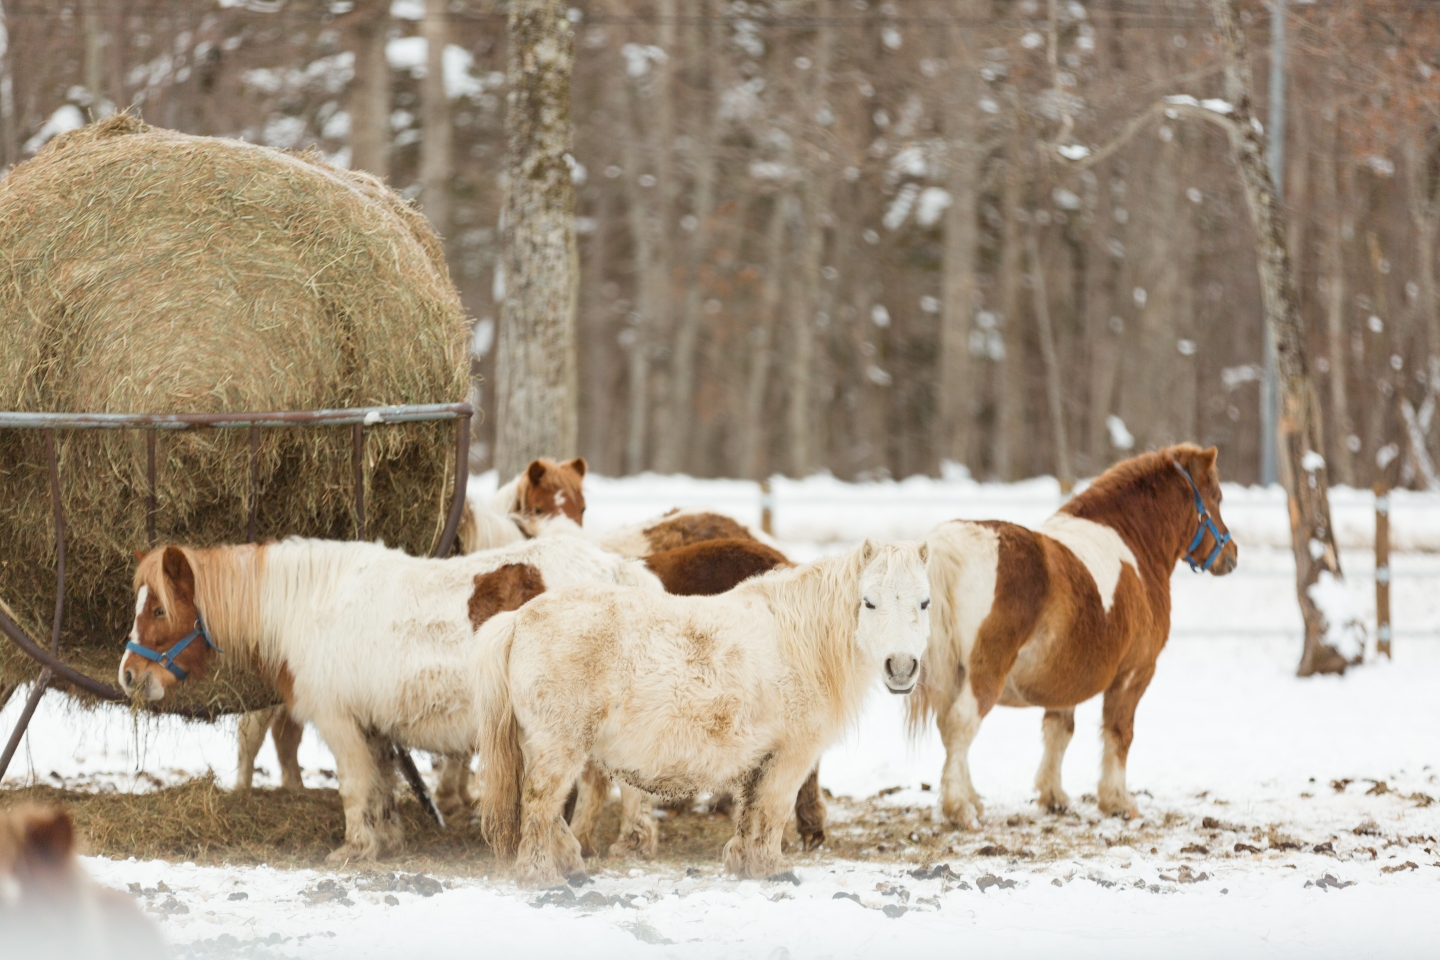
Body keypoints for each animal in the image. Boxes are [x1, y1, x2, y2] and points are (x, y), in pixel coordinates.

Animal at [116, 532, 659, 863]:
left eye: (160, 609)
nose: (128, 675)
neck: (310, 607)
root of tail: (617, 571)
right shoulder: (372, 726)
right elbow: (380, 785)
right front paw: (388, 839)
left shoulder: (338, 721)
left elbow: (354, 787)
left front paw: (355, 848)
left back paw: (614, 842)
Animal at [478, 541, 927, 886]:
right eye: (869, 602)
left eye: (924, 602)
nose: (902, 667)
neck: (800, 640)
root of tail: (519, 619)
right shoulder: (790, 757)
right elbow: (773, 812)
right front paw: (773, 869)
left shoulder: (760, 761)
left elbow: (751, 814)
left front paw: (744, 864)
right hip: (560, 747)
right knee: (539, 805)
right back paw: (542, 876)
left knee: (547, 810)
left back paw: (570, 864)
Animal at [910, 443, 1238, 829]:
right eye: (1217, 497)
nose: (1232, 555)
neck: (1132, 547)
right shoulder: (1134, 674)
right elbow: (1119, 732)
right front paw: (1117, 801)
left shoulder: (1064, 679)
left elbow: (1058, 732)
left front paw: (1053, 796)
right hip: (983, 676)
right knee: (960, 724)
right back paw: (960, 808)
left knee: (951, 729)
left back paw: (971, 801)